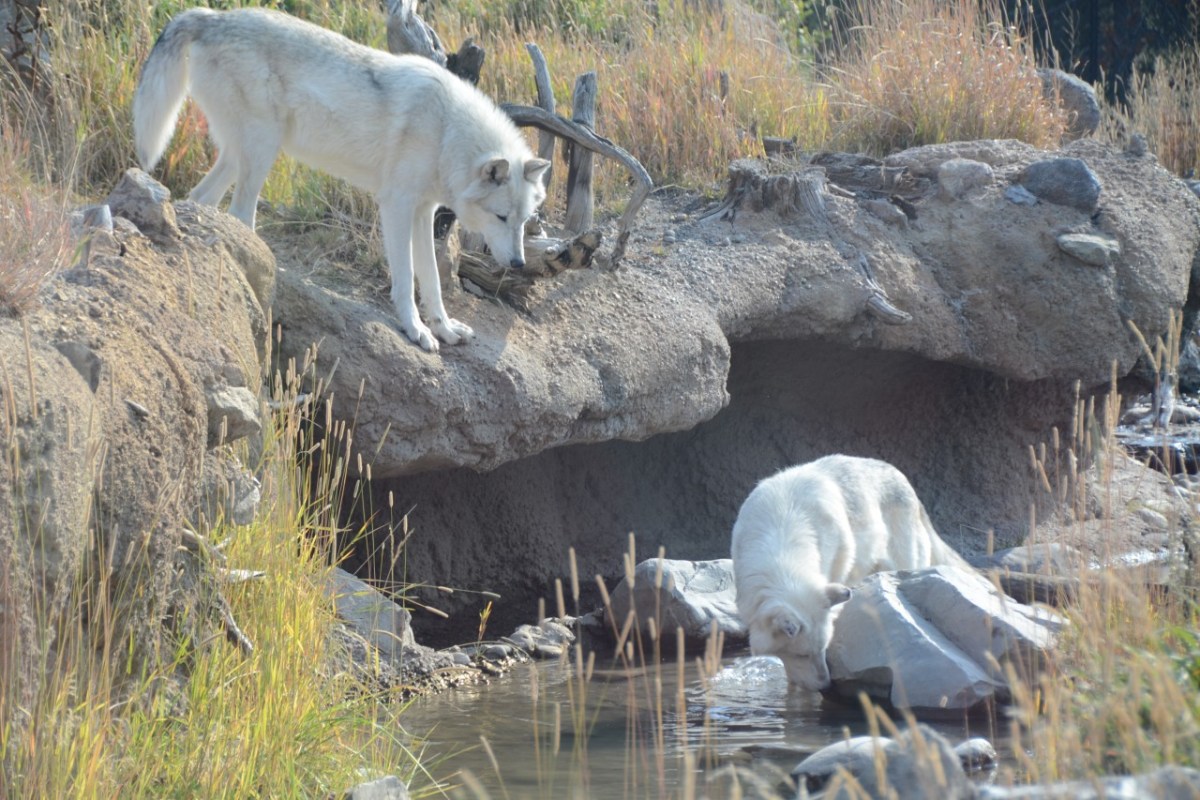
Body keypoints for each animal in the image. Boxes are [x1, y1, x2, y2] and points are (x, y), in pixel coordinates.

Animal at [133, 7, 550, 352]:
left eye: (523, 221)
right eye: (500, 217)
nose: (517, 263)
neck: (447, 130)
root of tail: (212, 16)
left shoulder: (423, 212)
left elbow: (431, 280)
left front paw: (444, 329)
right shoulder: (396, 207)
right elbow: (405, 278)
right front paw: (416, 331)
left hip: (241, 156)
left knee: (201, 198)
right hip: (261, 152)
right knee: (240, 214)